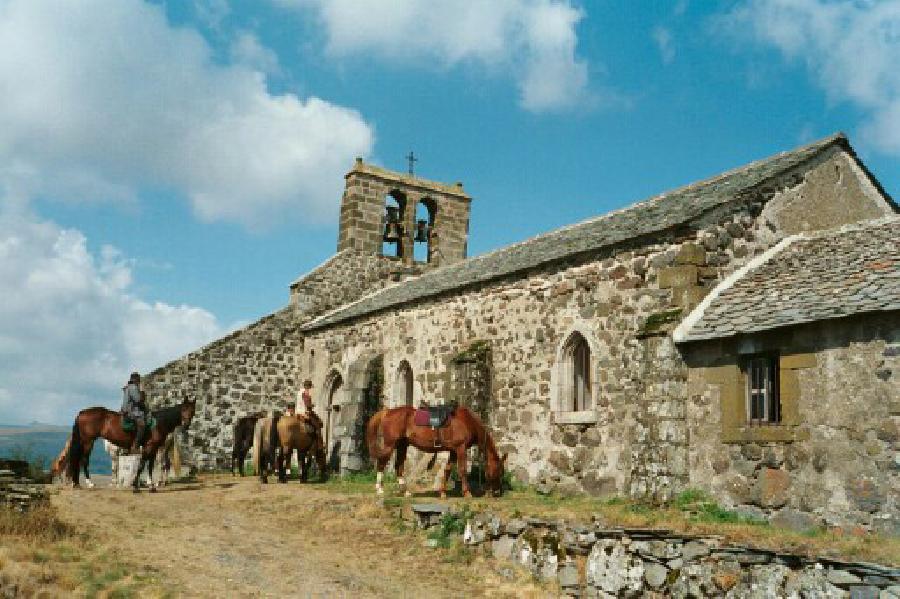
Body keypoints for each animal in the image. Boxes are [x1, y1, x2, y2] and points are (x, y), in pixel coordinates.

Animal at [68, 398, 197, 492]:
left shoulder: (152, 449)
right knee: (84, 460)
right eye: (183, 409)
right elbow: (139, 466)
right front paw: (135, 486)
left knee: (164, 465)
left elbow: (147, 466)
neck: (158, 423)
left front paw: (149, 486)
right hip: (88, 441)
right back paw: (89, 483)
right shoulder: (147, 448)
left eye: (192, 410)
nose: (186, 425)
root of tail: (82, 413)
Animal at [366, 406, 506, 500]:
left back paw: (405, 492)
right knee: (382, 463)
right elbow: (462, 470)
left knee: (398, 466)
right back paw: (379, 489)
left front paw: (443, 493)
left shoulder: (453, 451)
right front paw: (467, 493)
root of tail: (388, 411)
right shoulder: (460, 449)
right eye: (499, 471)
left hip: (402, 445)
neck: (468, 421)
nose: (498, 492)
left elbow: (447, 470)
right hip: (390, 445)